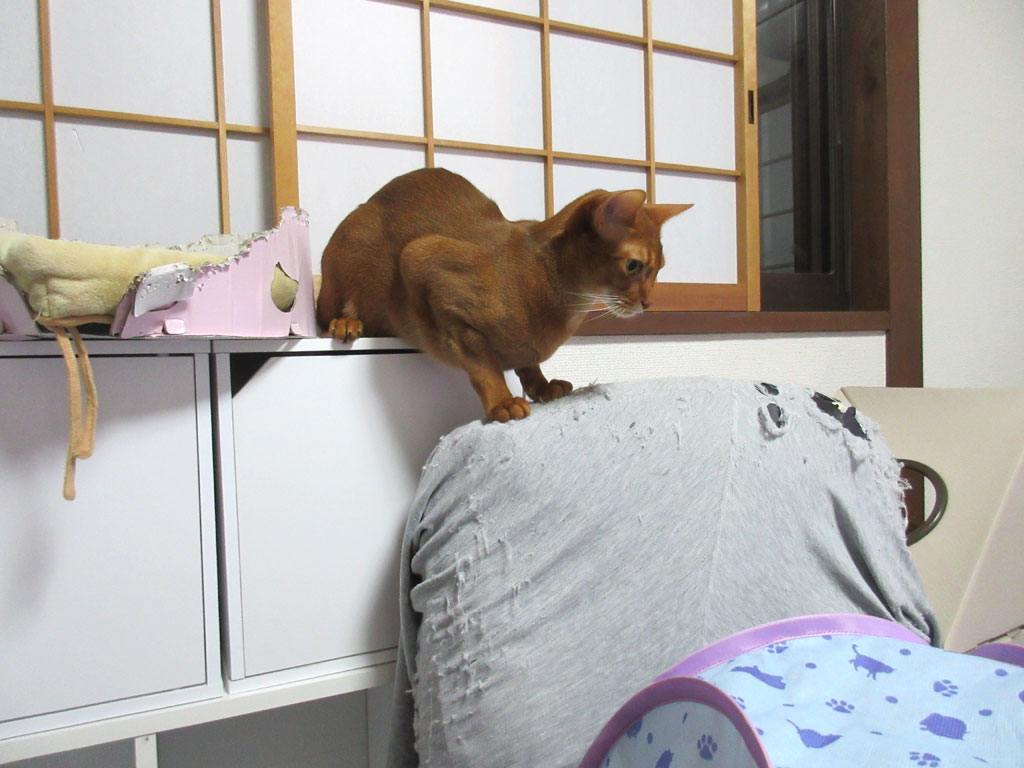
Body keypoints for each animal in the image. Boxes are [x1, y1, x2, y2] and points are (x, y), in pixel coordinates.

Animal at [317, 168, 690, 422]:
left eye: (660, 268)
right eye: (633, 266)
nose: (649, 302)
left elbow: (528, 362)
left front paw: (542, 387)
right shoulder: (425, 263)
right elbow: (484, 366)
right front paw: (502, 401)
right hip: (348, 250)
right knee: (335, 309)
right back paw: (346, 323)